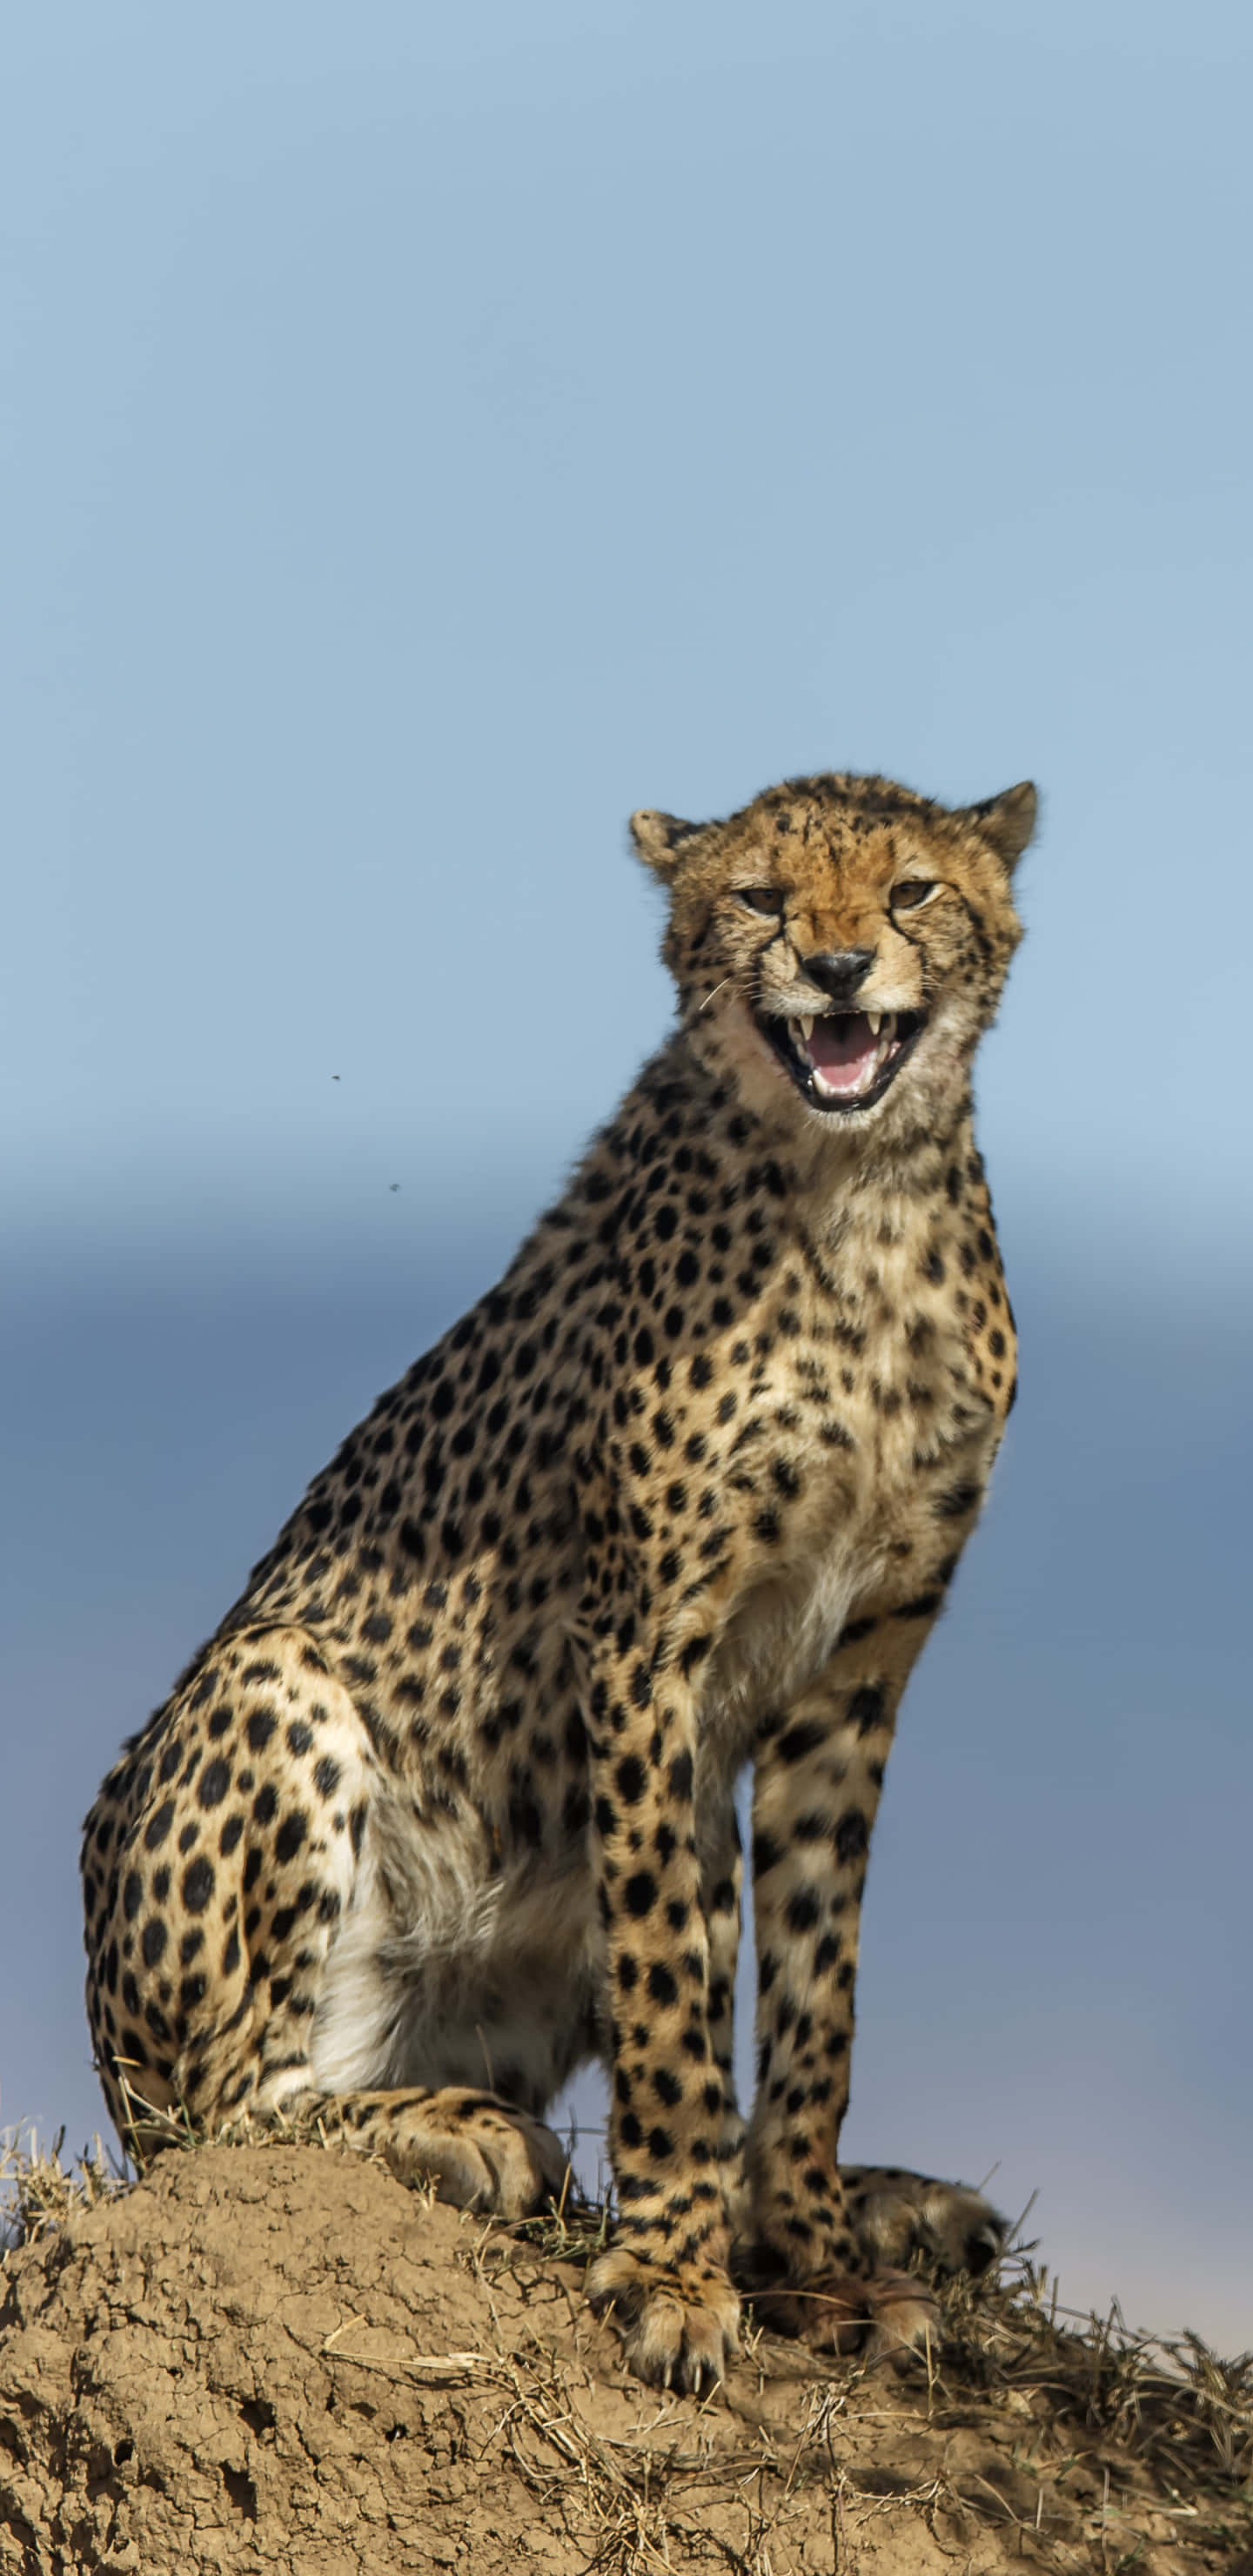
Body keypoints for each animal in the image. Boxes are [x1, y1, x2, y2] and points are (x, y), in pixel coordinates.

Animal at [81, 766, 1037, 2393]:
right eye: (764, 898)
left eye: (911, 890)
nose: (840, 967)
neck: (859, 1196)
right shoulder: (647, 1642)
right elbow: (661, 1984)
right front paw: (675, 2274)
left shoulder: (858, 1668)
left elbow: (815, 1994)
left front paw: (814, 2261)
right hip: (273, 1698)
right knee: (233, 2110)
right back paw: (459, 2134)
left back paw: (884, 2202)